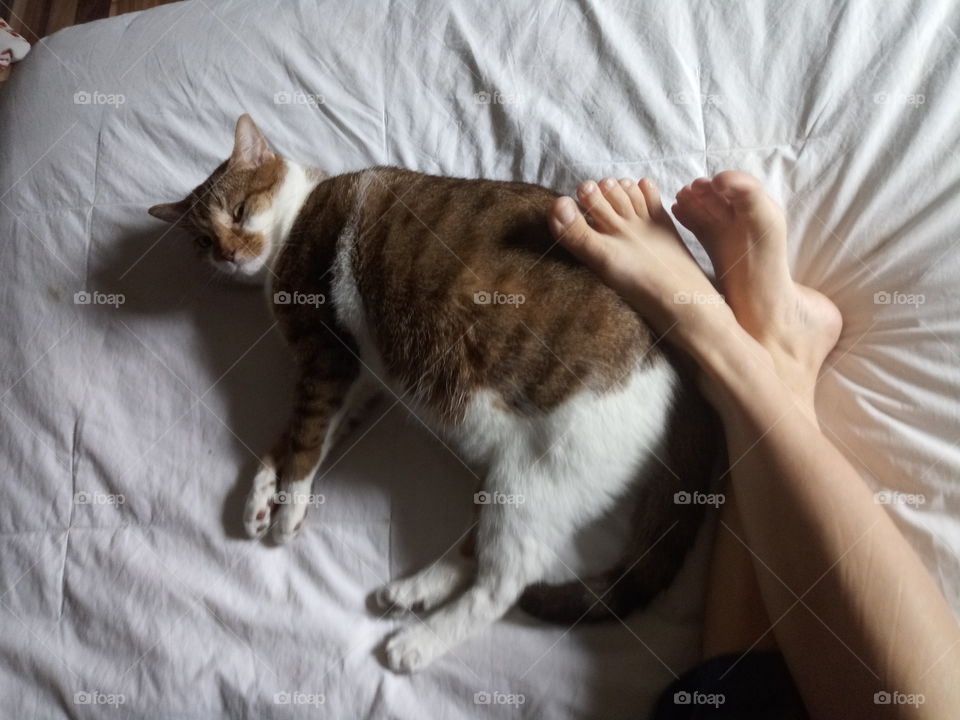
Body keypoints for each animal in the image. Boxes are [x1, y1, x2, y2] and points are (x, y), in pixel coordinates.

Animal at [148, 114, 720, 676]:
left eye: (240, 212)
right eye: (203, 241)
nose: (227, 255)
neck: (293, 223)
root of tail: (680, 373)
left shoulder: (327, 358)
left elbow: (305, 443)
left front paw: (286, 514)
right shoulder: (358, 384)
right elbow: (290, 440)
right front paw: (261, 499)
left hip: (536, 479)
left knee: (500, 587)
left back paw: (417, 642)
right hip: (510, 478)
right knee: (474, 550)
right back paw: (415, 591)